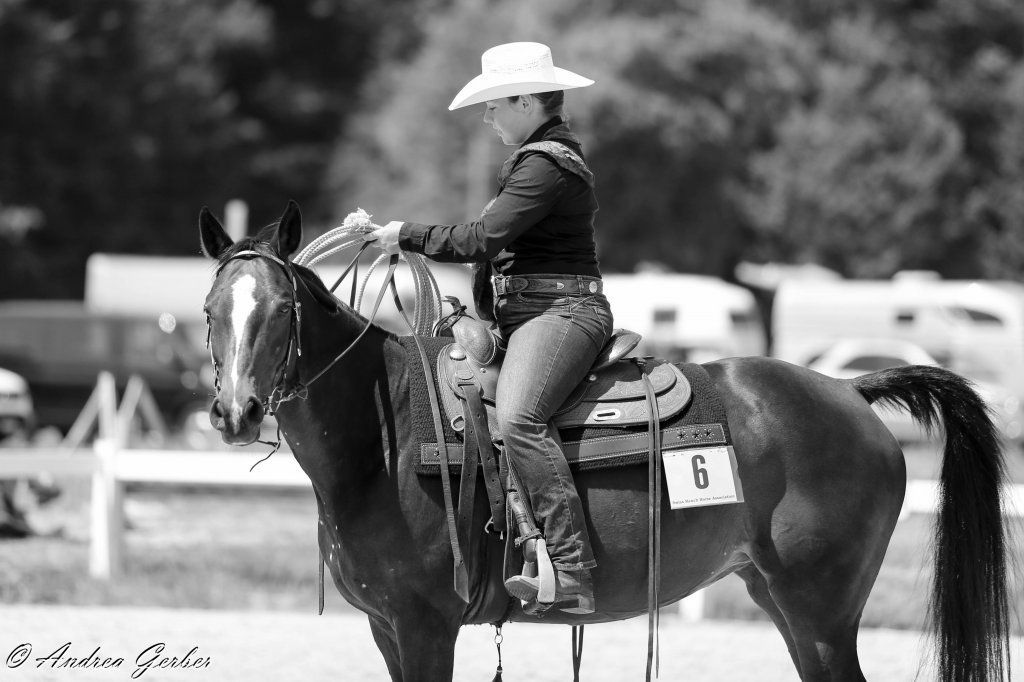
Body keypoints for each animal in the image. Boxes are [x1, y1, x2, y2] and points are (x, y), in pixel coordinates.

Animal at [199, 201, 1011, 682]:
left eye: (279, 310)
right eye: (211, 308)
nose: (235, 412)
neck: (386, 439)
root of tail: (850, 392)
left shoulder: (426, 625)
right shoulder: (385, 630)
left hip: (822, 607)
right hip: (780, 596)